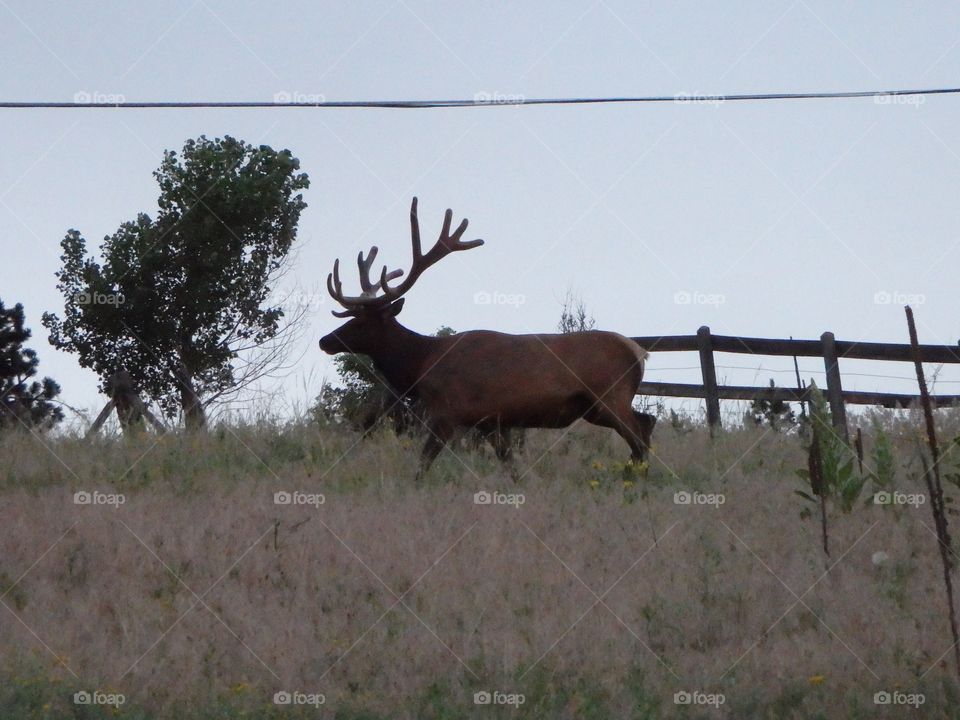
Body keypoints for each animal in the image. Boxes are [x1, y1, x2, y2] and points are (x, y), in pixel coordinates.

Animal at [319, 198, 655, 480]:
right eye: (349, 316)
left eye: (362, 320)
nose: (325, 341)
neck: (423, 362)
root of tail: (638, 352)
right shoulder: (490, 420)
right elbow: (509, 464)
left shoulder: (448, 411)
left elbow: (423, 464)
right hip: (594, 407)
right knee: (647, 422)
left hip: (609, 394)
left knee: (638, 435)